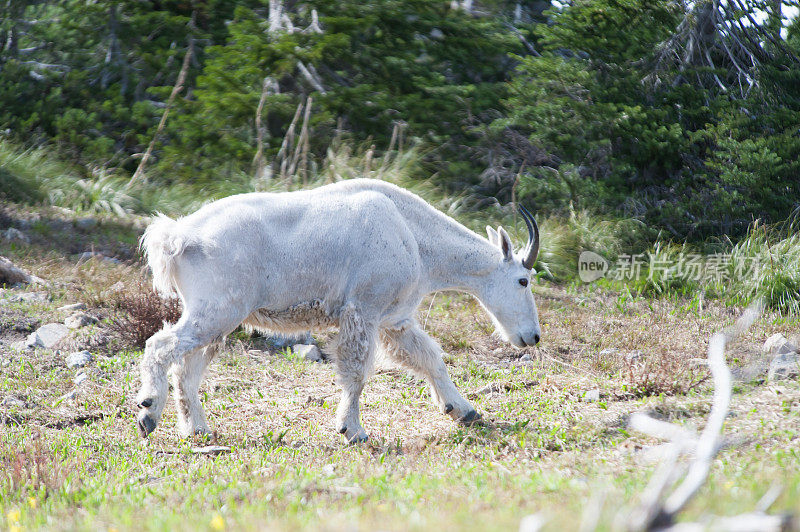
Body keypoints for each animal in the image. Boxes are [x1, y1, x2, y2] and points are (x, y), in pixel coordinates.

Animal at [136, 177, 544, 442]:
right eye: (523, 280)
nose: (533, 337)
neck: (413, 235)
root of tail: (178, 237)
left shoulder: (394, 320)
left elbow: (430, 358)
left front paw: (464, 410)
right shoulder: (363, 309)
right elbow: (357, 371)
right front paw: (353, 430)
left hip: (217, 317)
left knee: (187, 368)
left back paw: (197, 429)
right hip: (218, 310)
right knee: (160, 346)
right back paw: (148, 412)